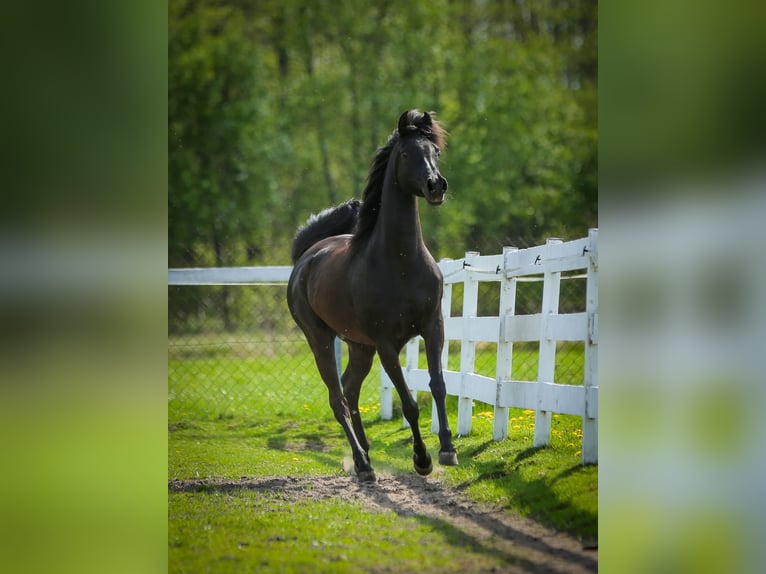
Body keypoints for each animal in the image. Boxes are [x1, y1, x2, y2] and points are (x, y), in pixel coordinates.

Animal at [287, 109, 458, 482]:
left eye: (436, 152)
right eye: (406, 153)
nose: (436, 186)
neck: (400, 262)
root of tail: (306, 257)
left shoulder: (433, 327)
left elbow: (438, 385)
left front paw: (448, 450)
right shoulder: (386, 343)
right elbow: (408, 402)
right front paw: (422, 459)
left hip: (359, 346)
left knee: (350, 391)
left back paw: (363, 452)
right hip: (322, 341)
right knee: (337, 399)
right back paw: (363, 465)